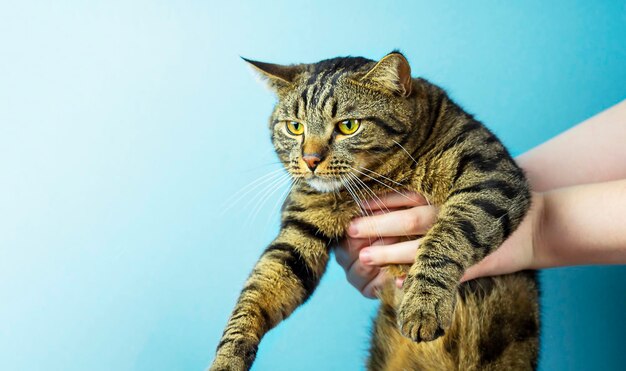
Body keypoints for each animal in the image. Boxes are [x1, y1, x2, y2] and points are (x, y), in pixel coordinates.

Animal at [208, 50, 536, 370]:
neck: (377, 182)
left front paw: (423, 304)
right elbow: (256, 293)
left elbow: (446, 237)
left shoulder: (491, 175)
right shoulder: (299, 232)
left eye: (348, 126)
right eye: (295, 127)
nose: (310, 159)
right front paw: (226, 358)